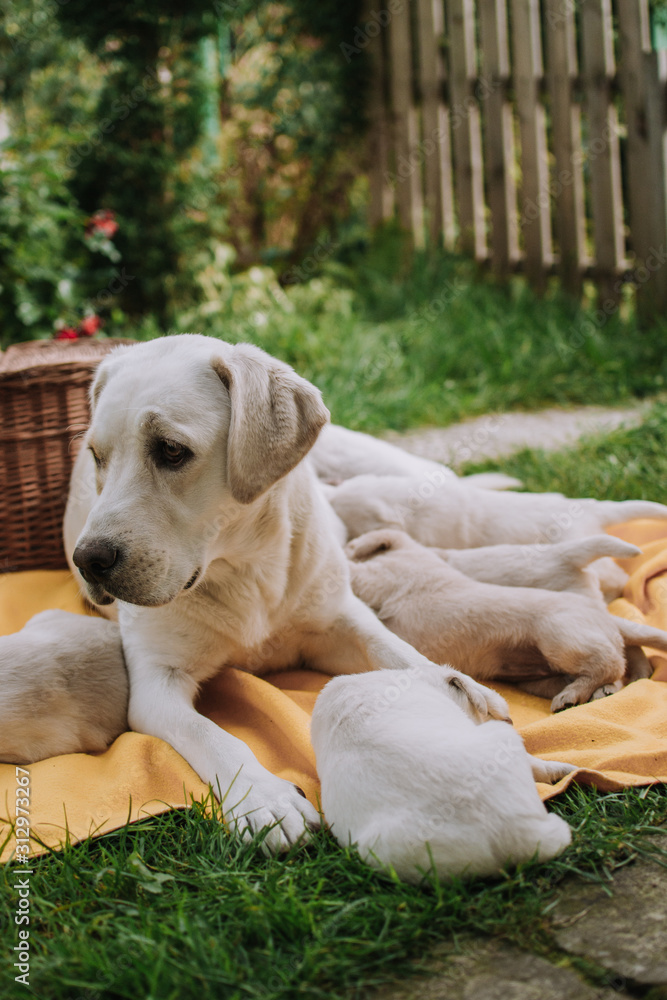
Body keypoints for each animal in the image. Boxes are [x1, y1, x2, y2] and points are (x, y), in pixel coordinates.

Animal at [64, 336, 512, 852]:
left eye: (171, 450)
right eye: (97, 457)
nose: (88, 560)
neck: (244, 566)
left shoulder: (336, 619)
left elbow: (396, 650)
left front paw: (459, 686)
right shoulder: (156, 681)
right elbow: (210, 733)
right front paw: (265, 797)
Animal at [344, 532, 667, 712]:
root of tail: (603, 617)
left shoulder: (380, 577)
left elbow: (357, 568)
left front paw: (346, 553)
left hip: (560, 637)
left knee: (609, 663)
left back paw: (570, 696)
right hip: (540, 677)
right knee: (612, 667)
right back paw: (589, 693)